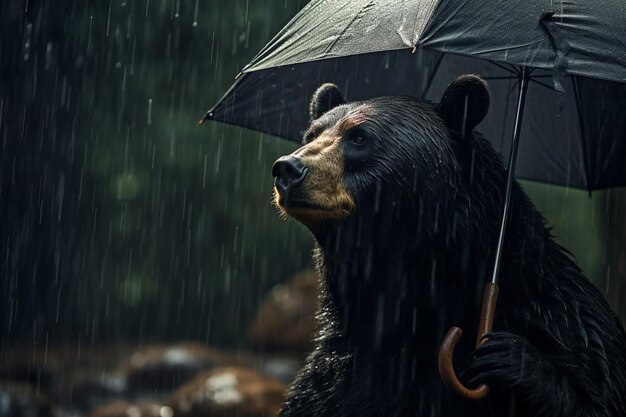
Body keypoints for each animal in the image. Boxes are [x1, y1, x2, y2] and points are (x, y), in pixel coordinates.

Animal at [270, 75, 624, 416]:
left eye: (359, 137)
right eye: (310, 135)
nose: (287, 168)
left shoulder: (568, 325)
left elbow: (597, 391)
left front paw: (512, 359)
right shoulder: (339, 375)